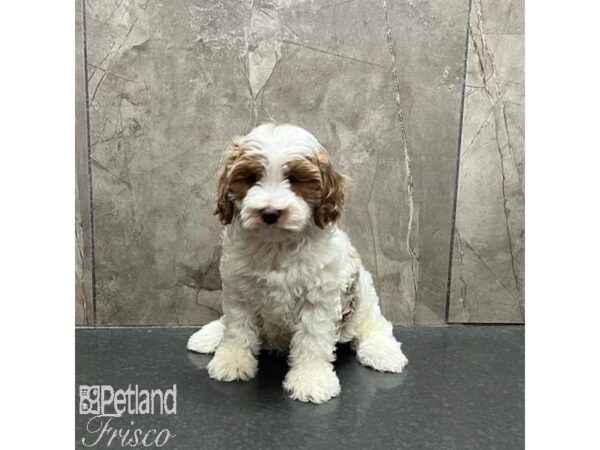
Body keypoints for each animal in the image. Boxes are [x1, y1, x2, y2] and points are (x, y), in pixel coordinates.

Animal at [188, 123, 408, 404]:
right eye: (251, 178)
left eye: (294, 179)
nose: (270, 213)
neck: (277, 244)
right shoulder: (239, 291)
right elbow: (237, 328)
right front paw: (232, 361)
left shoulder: (318, 300)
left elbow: (312, 341)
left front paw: (311, 380)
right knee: (226, 321)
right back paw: (208, 336)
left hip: (364, 296)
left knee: (376, 324)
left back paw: (384, 353)